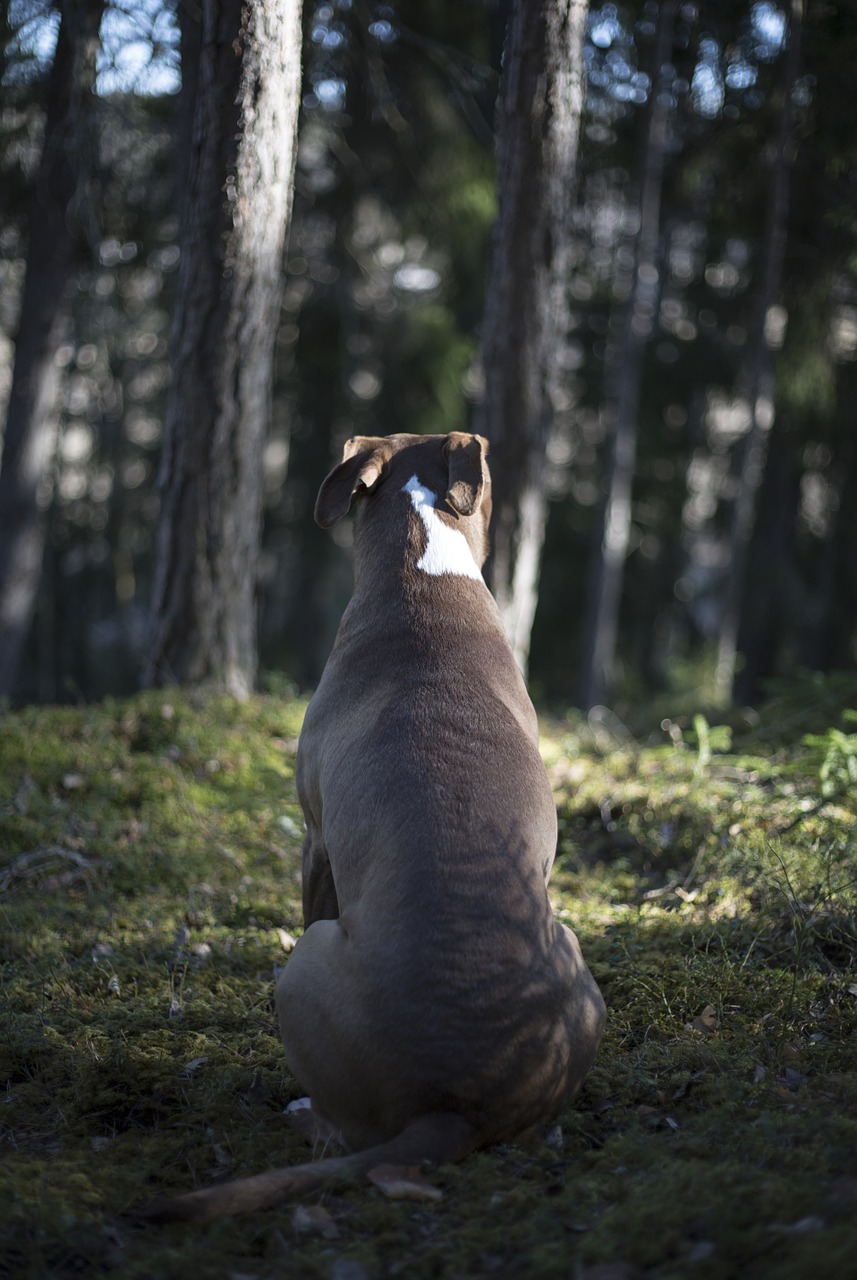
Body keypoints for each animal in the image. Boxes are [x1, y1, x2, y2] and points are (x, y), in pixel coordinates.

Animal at [140, 435, 608, 1223]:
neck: (424, 571)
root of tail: (456, 1108)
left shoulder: (314, 840)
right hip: (574, 958)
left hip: (305, 966)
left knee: (343, 1128)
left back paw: (305, 1113)